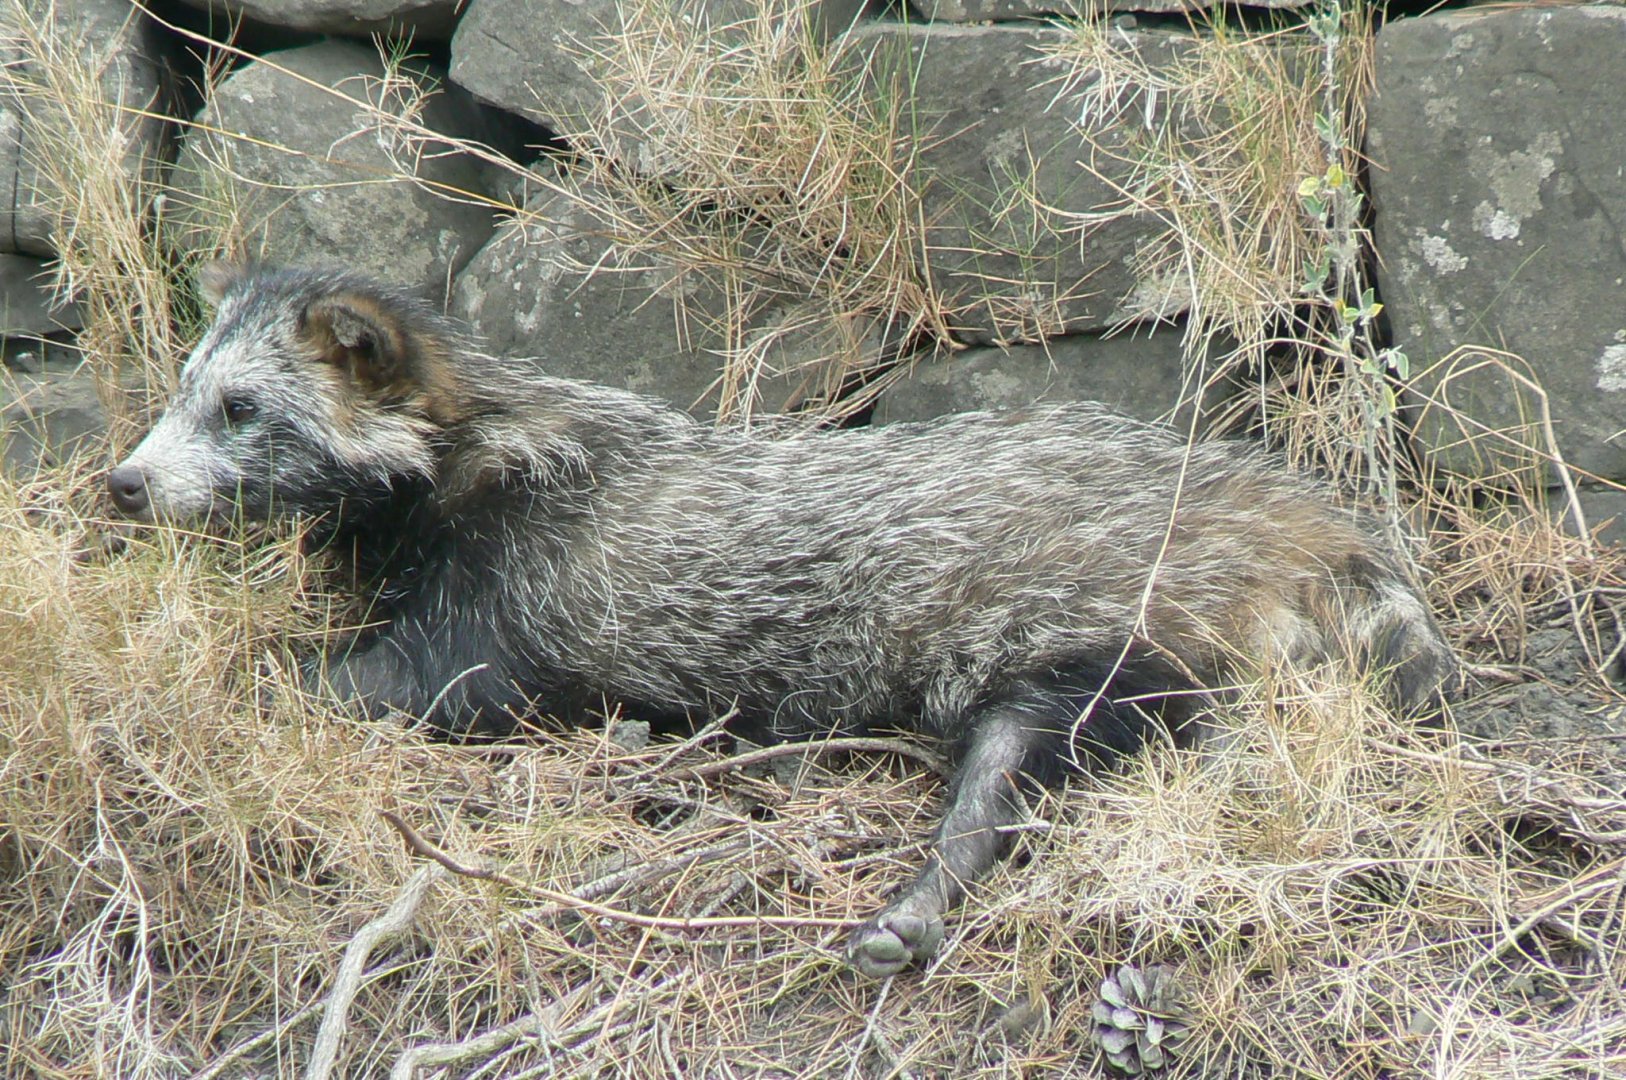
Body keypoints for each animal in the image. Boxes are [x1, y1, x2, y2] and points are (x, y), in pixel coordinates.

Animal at [107, 263, 1457, 978]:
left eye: (240, 410)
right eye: (185, 390)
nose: (124, 482)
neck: (475, 445)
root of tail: (1294, 519)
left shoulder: (521, 583)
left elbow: (424, 683)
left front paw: (235, 686)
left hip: (1098, 618)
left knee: (1022, 758)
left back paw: (916, 900)